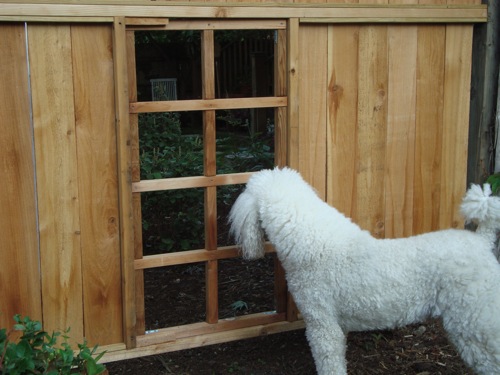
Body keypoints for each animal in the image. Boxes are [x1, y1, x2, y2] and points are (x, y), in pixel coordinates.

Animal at [229, 168, 500, 375]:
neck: (312, 243)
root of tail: (482, 240)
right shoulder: (337, 327)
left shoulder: (322, 324)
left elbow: (330, 364)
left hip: (475, 322)